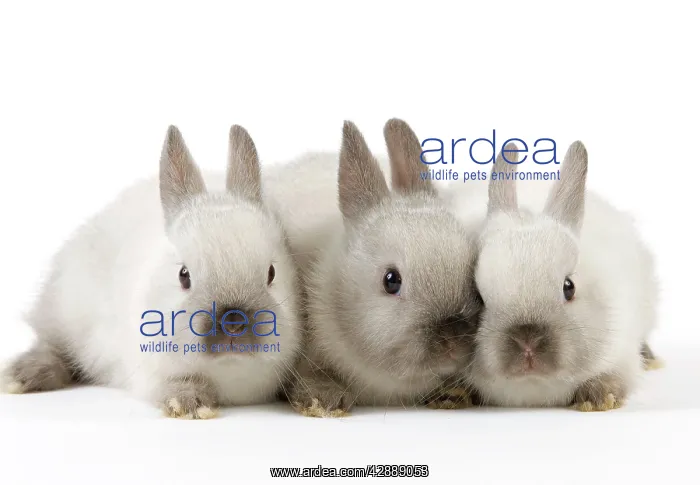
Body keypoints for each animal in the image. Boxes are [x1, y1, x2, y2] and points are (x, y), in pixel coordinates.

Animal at [1, 125, 302, 419]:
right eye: (183, 275)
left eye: (272, 273)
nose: (234, 323)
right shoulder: (147, 371)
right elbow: (174, 384)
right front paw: (190, 404)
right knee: (52, 347)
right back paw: (20, 377)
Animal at [444, 141, 659, 411]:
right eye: (478, 297)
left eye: (569, 287)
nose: (527, 342)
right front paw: (452, 395)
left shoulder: (621, 354)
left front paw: (598, 398)